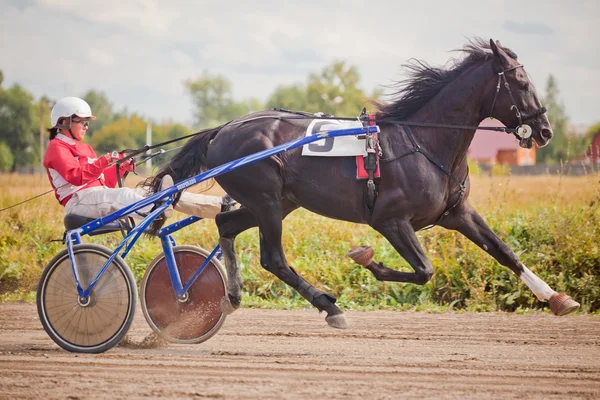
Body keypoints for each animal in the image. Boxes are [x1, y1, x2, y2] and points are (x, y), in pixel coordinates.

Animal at [145, 39, 576, 328]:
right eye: (521, 81)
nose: (545, 130)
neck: (424, 141)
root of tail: (222, 130)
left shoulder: (457, 212)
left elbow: (504, 252)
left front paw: (556, 298)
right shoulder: (390, 220)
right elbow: (424, 270)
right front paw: (366, 258)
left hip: (278, 202)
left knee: (226, 224)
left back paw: (233, 295)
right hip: (266, 201)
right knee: (273, 258)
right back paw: (329, 306)